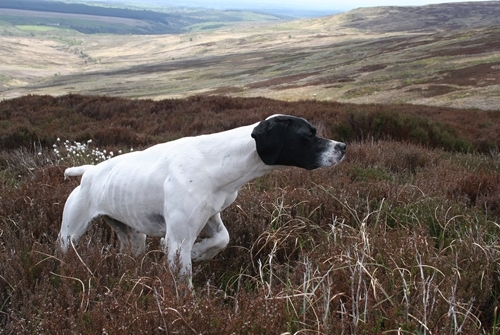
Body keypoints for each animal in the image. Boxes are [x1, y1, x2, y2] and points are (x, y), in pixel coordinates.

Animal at [58, 115, 346, 278]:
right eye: (308, 134)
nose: (342, 146)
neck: (217, 163)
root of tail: (89, 172)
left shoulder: (210, 217)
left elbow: (222, 239)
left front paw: (200, 253)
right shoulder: (179, 239)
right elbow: (183, 281)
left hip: (134, 238)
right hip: (69, 235)